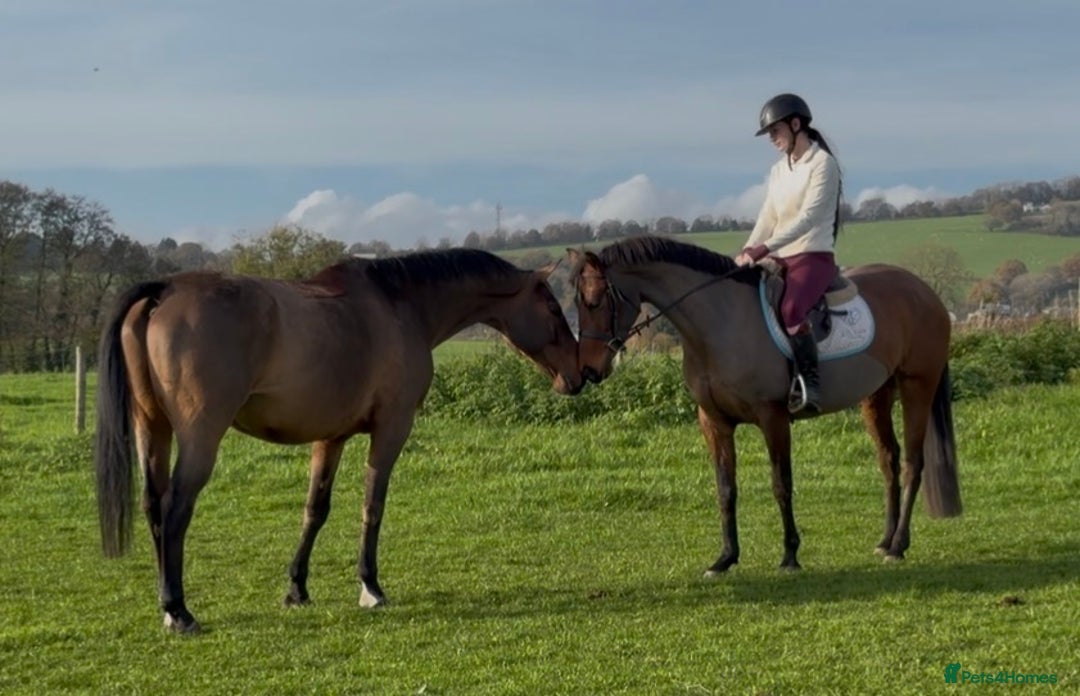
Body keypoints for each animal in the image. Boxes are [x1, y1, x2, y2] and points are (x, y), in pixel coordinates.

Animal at [95, 248, 583, 633]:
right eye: (554, 309)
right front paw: (370, 586)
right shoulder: (391, 430)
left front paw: (297, 588)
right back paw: (178, 610)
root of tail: (164, 290)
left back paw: (166, 603)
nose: (579, 375)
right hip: (200, 437)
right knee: (175, 508)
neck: (399, 305)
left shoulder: (329, 439)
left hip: (152, 428)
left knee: (153, 505)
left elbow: (315, 510)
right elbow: (373, 506)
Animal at [568, 236, 961, 576]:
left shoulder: (773, 418)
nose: (588, 370)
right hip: (877, 394)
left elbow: (780, 484)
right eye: (577, 304)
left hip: (917, 386)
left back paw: (898, 545)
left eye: (595, 301)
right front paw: (725, 558)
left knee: (912, 463)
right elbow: (726, 489)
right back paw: (885, 540)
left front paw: (790, 555)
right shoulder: (714, 422)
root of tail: (924, 291)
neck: (720, 323)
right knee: (888, 460)